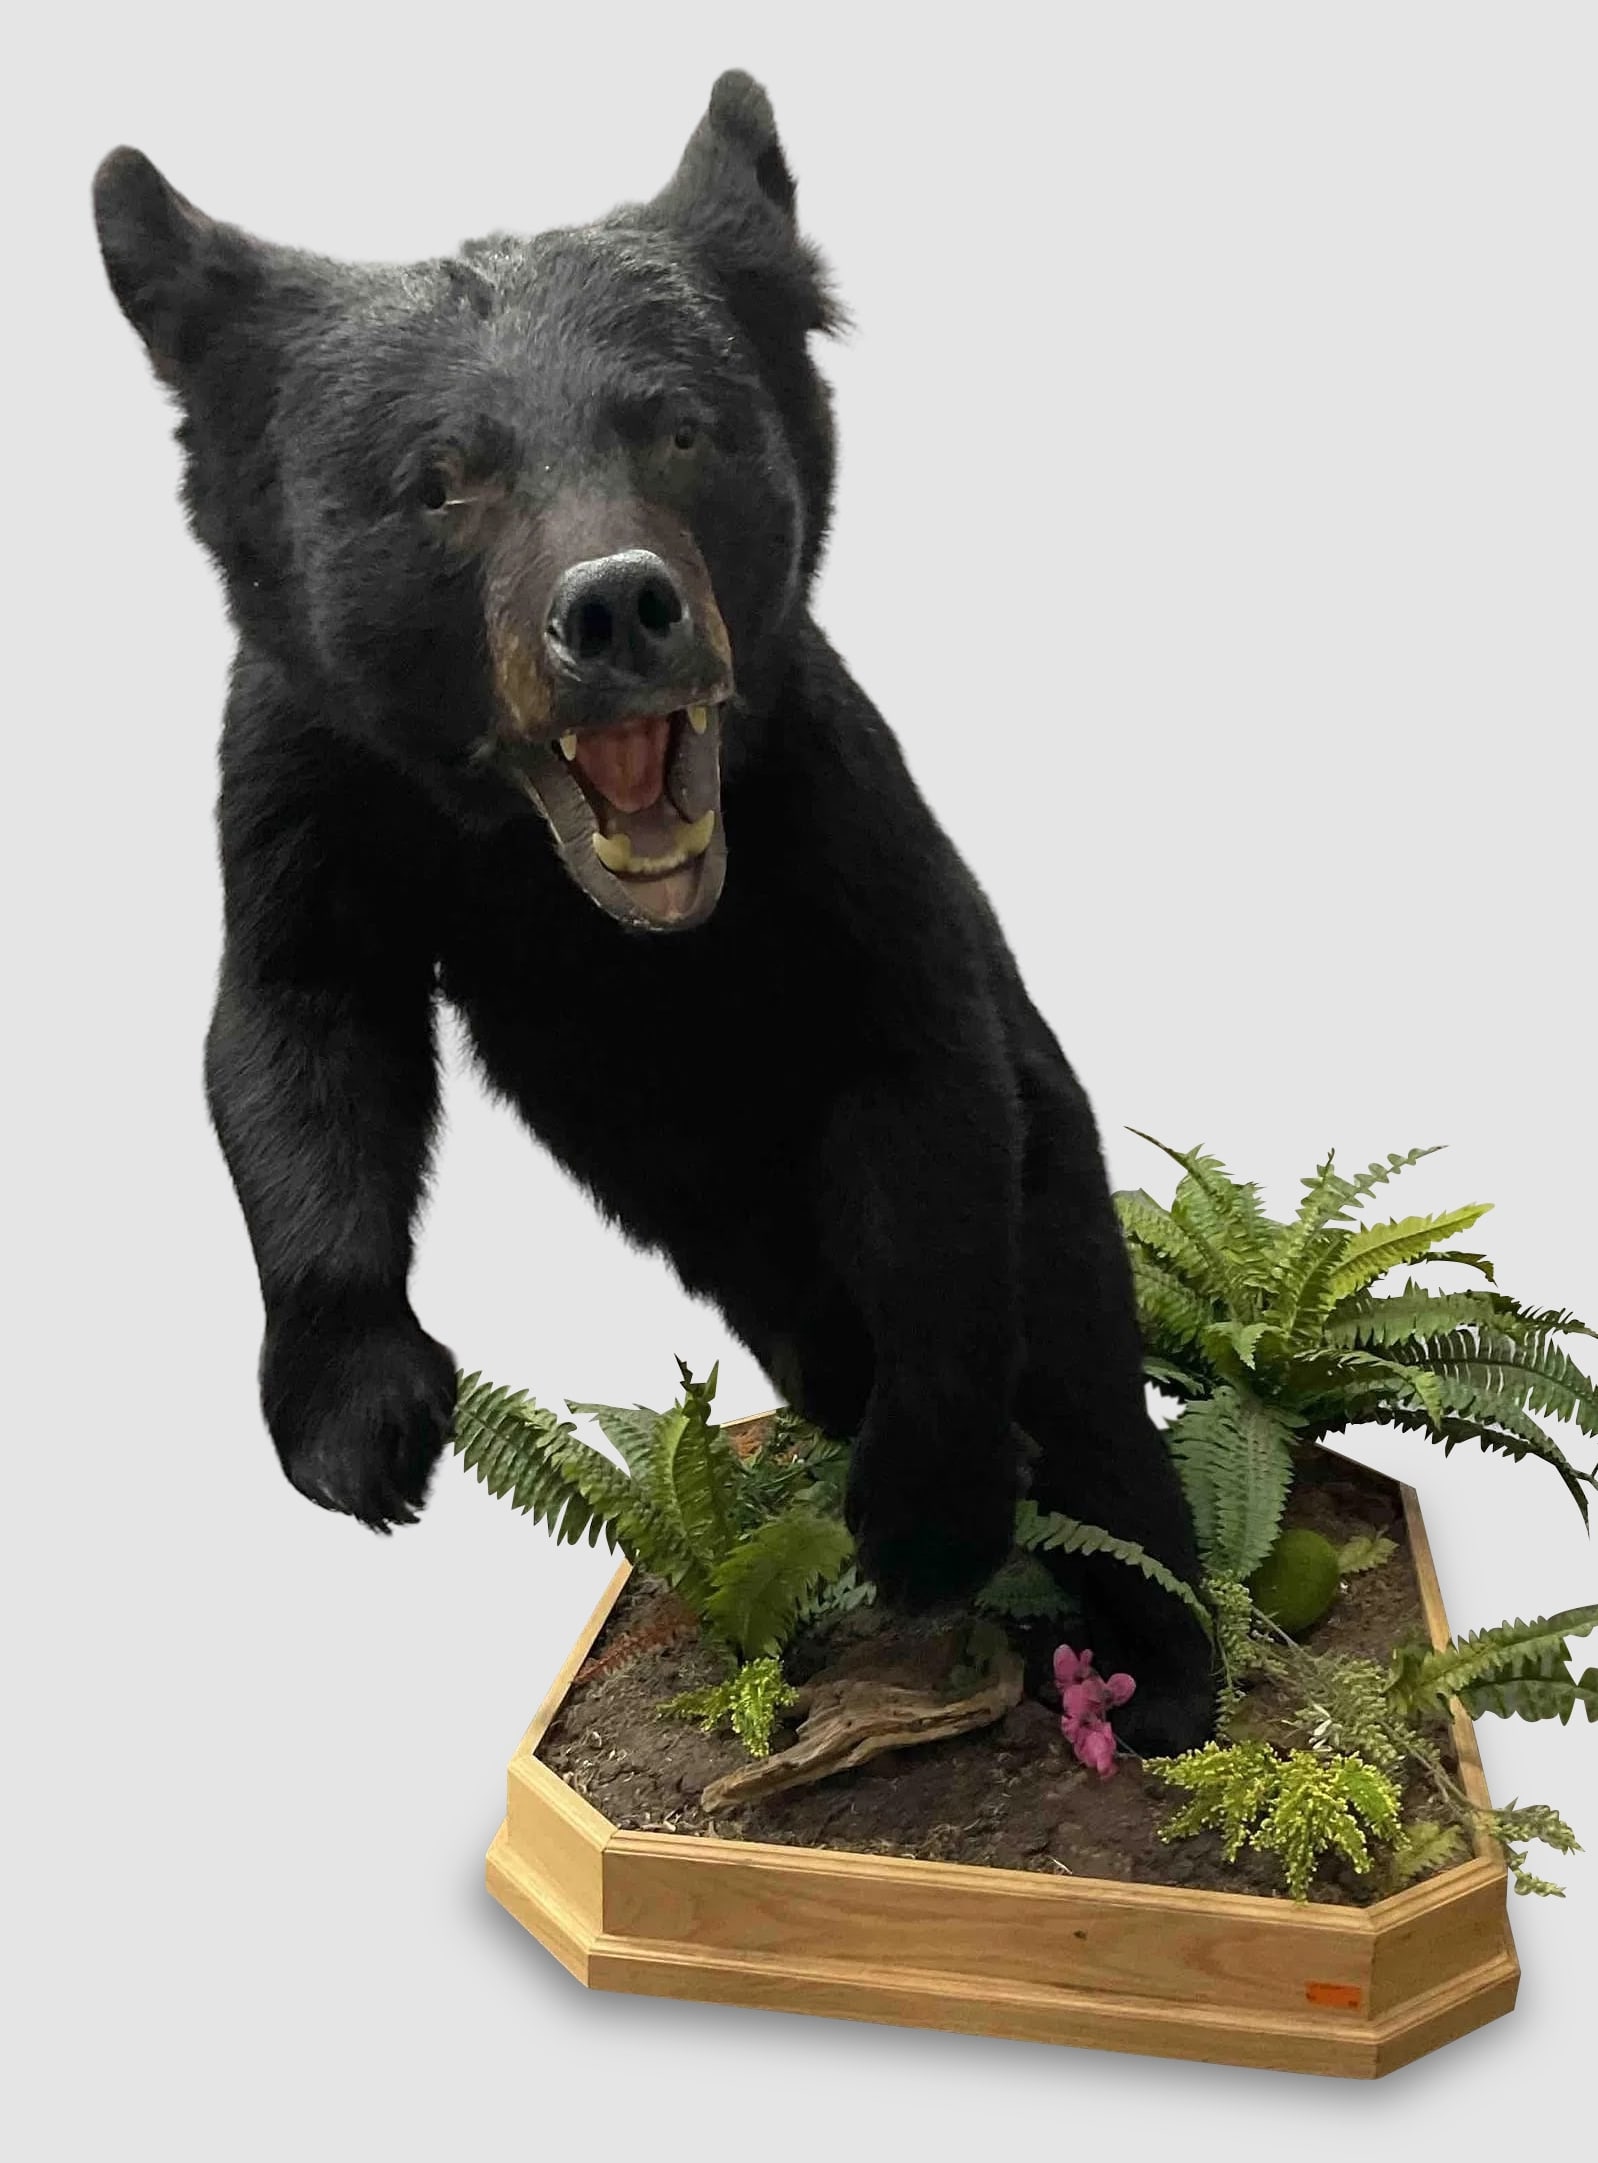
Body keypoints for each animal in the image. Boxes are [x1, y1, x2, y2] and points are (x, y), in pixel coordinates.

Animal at [93, 70, 1213, 1751]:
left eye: (680, 426)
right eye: (440, 479)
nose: (617, 608)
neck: (564, 886)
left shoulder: (828, 808)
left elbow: (922, 1095)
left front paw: (927, 1512)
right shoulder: (307, 781)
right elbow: (297, 1027)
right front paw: (362, 1426)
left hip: (1059, 1191)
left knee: (1088, 1383)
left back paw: (1161, 1672)